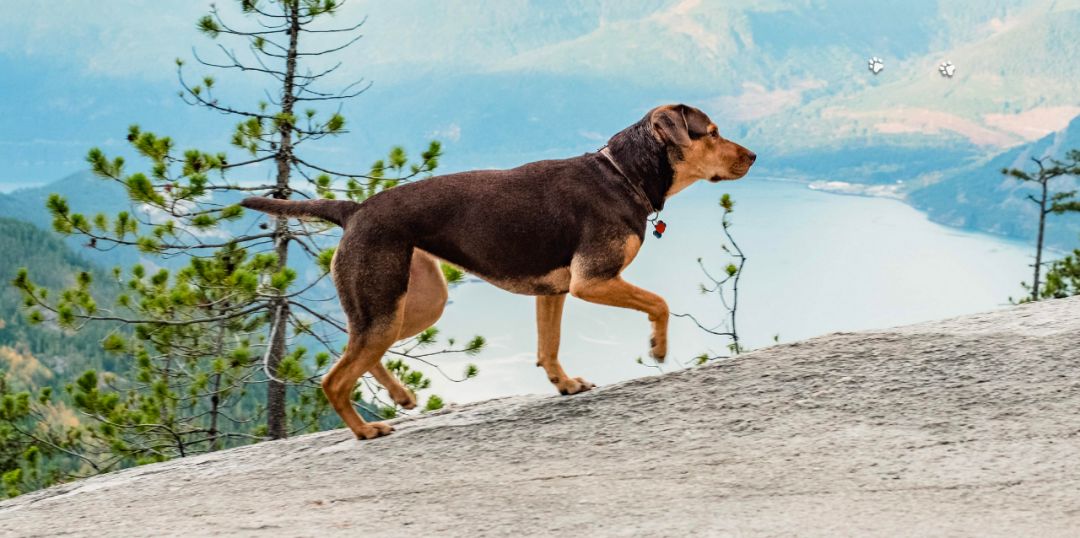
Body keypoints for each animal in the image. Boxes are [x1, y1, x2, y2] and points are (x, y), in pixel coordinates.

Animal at [240, 103, 756, 438]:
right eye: (711, 131)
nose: (753, 156)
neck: (622, 174)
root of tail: (354, 210)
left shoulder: (555, 291)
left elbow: (549, 348)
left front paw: (565, 384)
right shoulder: (593, 281)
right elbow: (661, 303)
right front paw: (658, 346)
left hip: (415, 304)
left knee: (362, 354)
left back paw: (401, 397)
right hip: (386, 304)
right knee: (334, 378)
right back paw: (365, 430)